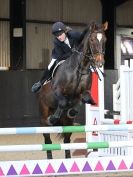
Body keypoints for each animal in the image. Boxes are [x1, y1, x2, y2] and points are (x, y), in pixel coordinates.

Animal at [38, 21, 107, 160]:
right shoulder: (57, 90)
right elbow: (63, 102)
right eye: (92, 40)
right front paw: (54, 118)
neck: (80, 68)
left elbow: (84, 99)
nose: (100, 62)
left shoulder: (84, 92)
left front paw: (72, 111)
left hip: (67, 123)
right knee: (47, 140)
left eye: (105, 40)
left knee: (66, 140)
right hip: (43, 117)